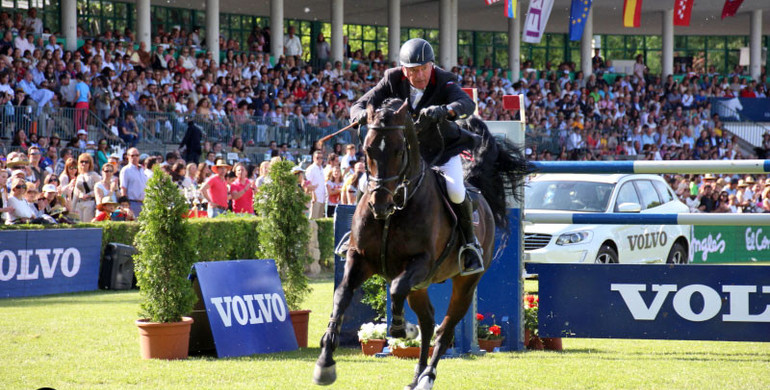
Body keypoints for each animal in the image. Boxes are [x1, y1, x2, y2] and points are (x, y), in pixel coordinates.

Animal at [312, 100, 528, 390]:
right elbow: (342, 295)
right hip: (420, 285)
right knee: (428, 322)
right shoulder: (360, 259)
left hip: (464, 283)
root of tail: (478, 192)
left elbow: (394, 290)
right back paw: (416, 375)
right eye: (367, 149)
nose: (379, 204)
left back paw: (427, 376)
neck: (394, 210)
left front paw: (402, 329)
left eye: (399, 150)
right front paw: (325, 362)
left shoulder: (421, 263)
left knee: (444, 328)